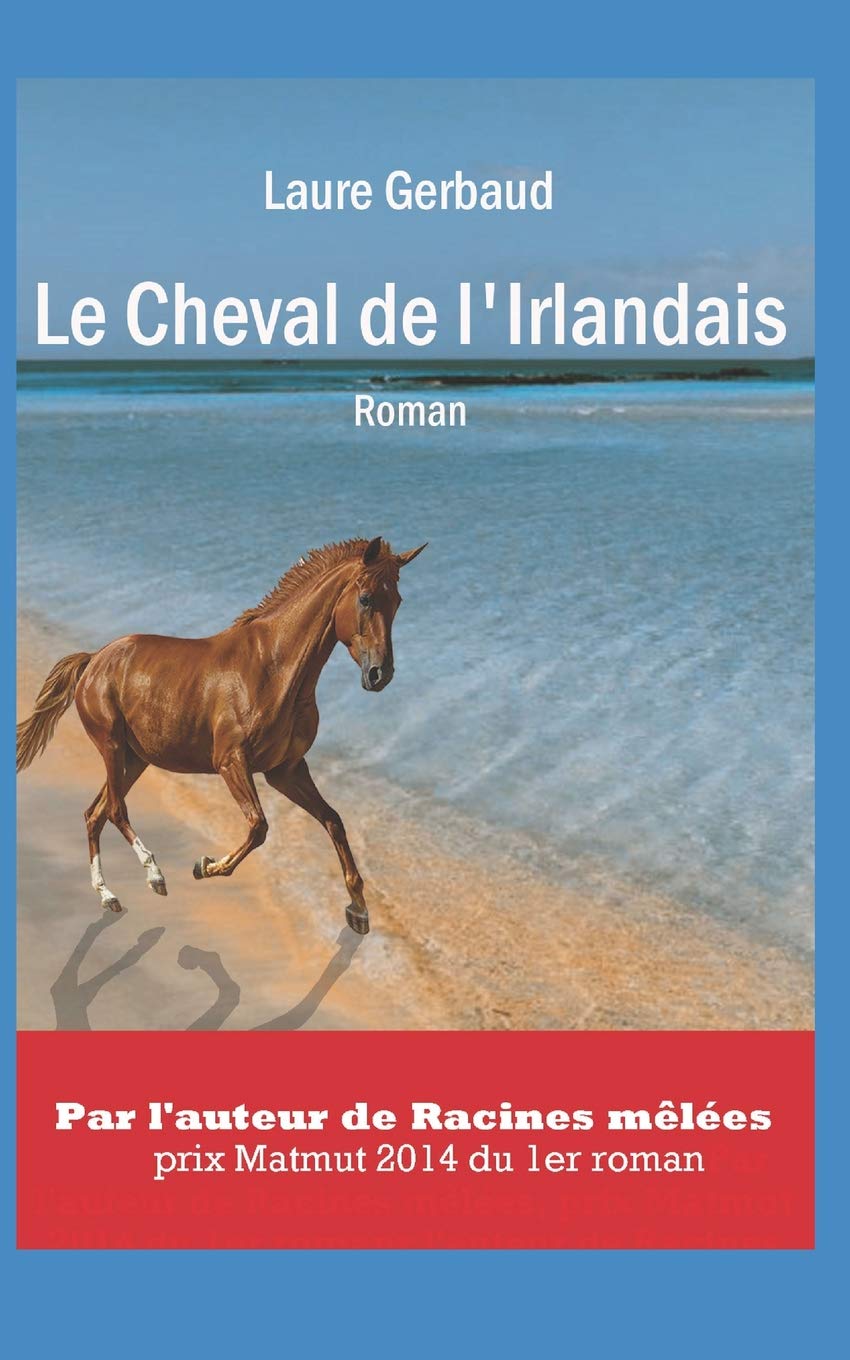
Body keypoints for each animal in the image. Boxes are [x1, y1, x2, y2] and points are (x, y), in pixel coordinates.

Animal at [17, 536, 427, 935]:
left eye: (398, 601)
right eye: (366, 598)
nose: (380, 674)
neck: (274, 668)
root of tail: (93, 660)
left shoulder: (286, 770)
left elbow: (333, 821)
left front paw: (358, 910)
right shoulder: (231, 762)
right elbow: (259, 826)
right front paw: (206, 865)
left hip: (135, 759)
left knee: (94, 813)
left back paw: (108, 896)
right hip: (113, 747)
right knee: (115, 810)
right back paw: (155, 876)